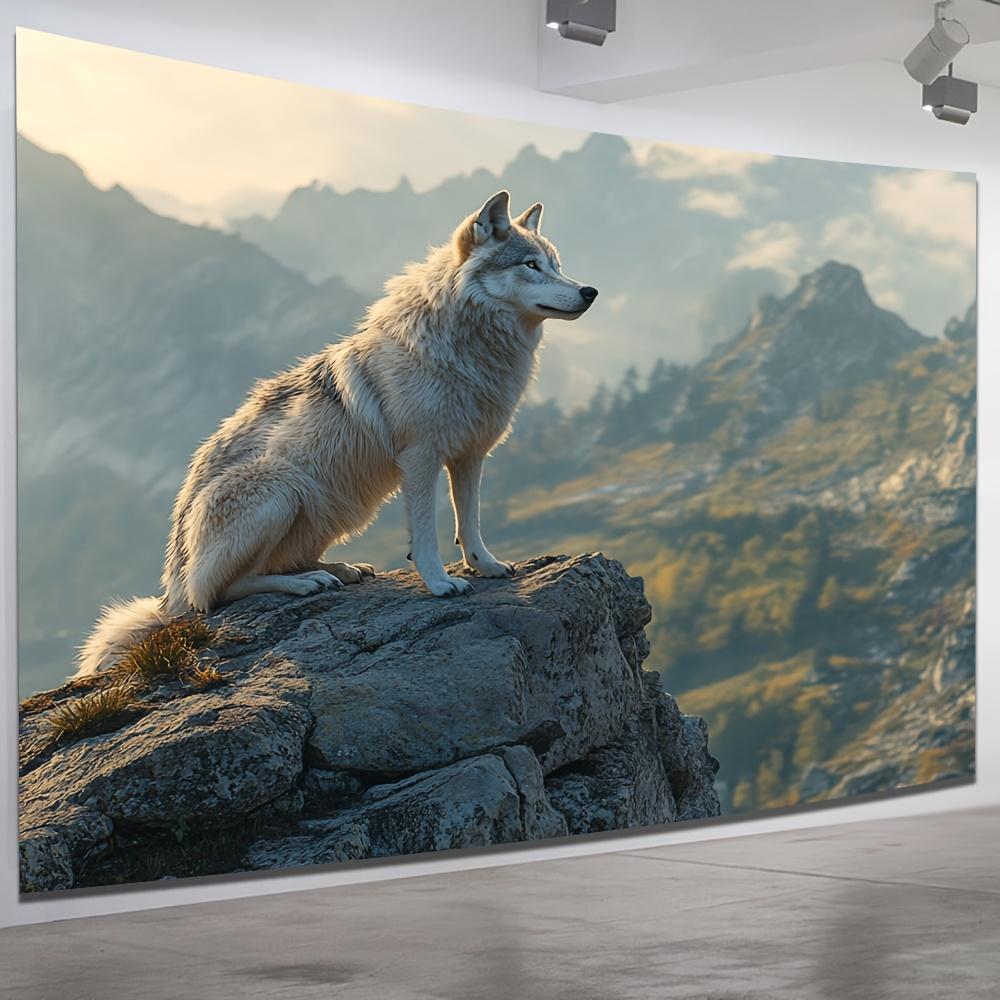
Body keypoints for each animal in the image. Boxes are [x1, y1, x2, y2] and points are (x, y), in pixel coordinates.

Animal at [76, 190, 597, 676]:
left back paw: (337, 571)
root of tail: (172, 592)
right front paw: (440, 585)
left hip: (334, 507)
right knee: (220, 594)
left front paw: (486, 566)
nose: (589, 290)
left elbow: (469, 523)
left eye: (557, 265)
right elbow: (427, 535)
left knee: (272, 566)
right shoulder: (420, 458)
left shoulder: (470, 455)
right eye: (531, 265)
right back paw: (306, 583)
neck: (465, 348)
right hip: (282, 490)